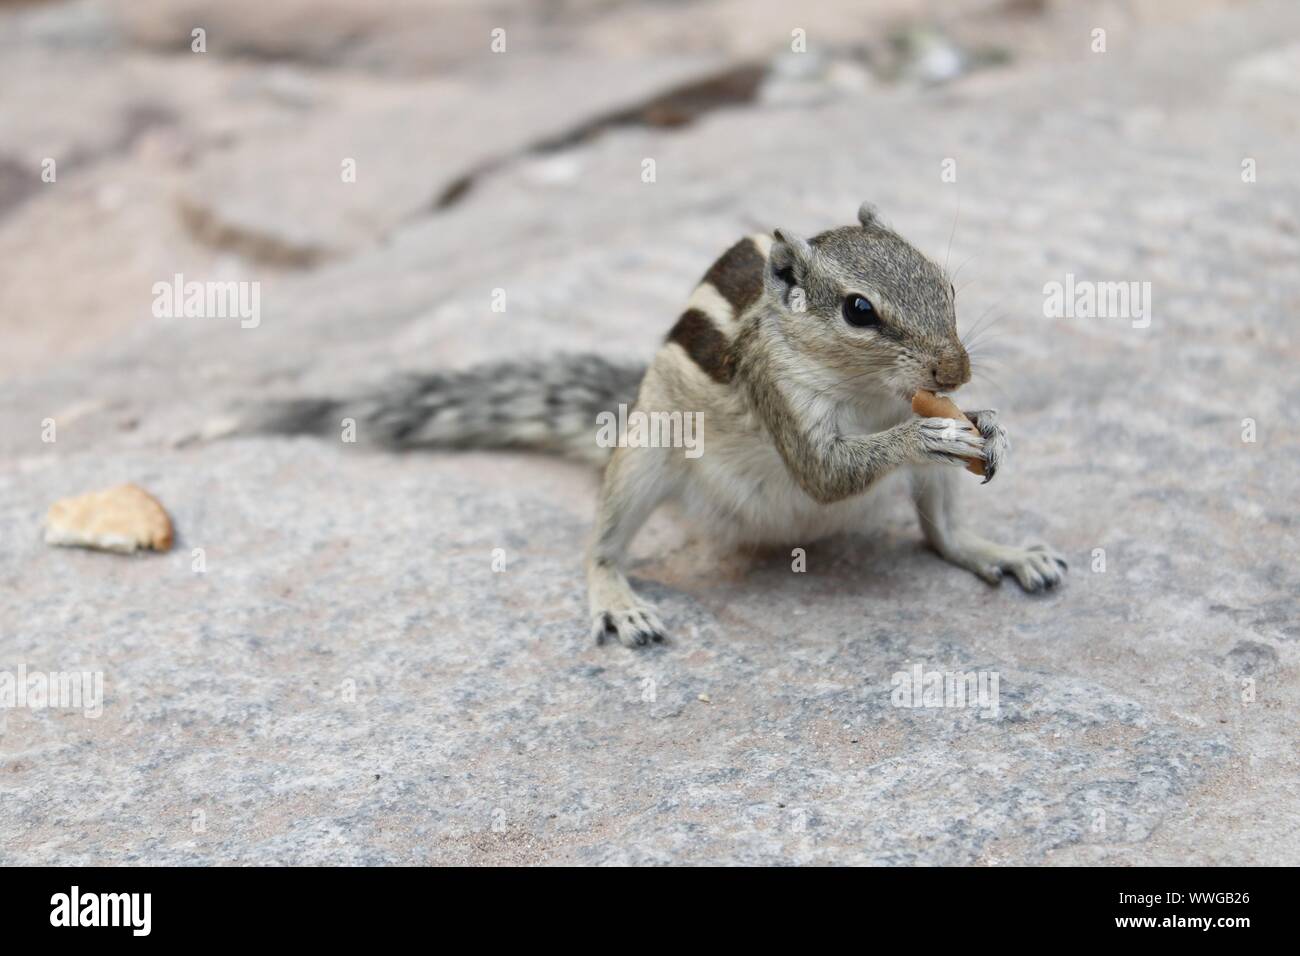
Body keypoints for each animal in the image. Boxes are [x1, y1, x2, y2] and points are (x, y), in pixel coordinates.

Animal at [250, 204, 1066, 647]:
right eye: (859, 310)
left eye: (947, 285)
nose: (954, 373)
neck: (870, 394)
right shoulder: (781, 397)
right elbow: (824, 474)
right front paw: (922, 434)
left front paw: (990, 424)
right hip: (644, 455)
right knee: (599, 548)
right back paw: (618, 600)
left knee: (942, 535)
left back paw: (1000, 551)